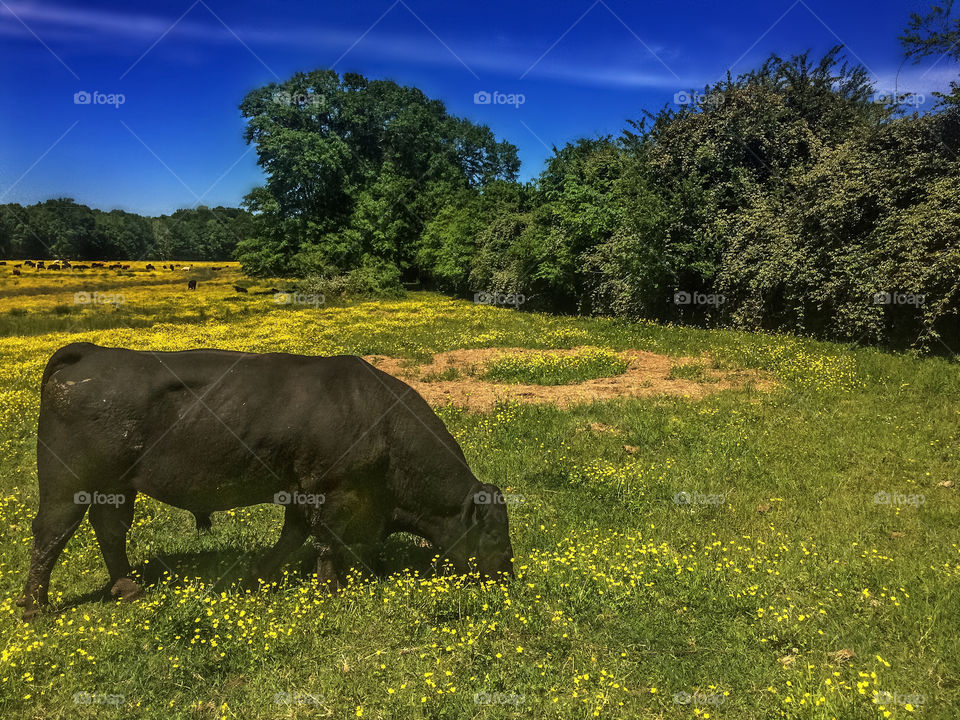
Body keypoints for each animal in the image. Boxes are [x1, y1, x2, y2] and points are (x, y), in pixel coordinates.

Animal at [19, 343, 514, 620]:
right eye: (494, 533)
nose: (507, 572)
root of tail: (92, 352)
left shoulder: (300, 491)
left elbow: (291, 537)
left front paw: (255, 577)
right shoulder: (330, 492)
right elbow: (326, 541)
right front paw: (330, 589)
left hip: (116, 487)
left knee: (109, 530)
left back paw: (128, 588)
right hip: (68, 484)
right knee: (51, 532)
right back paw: (33, 607)